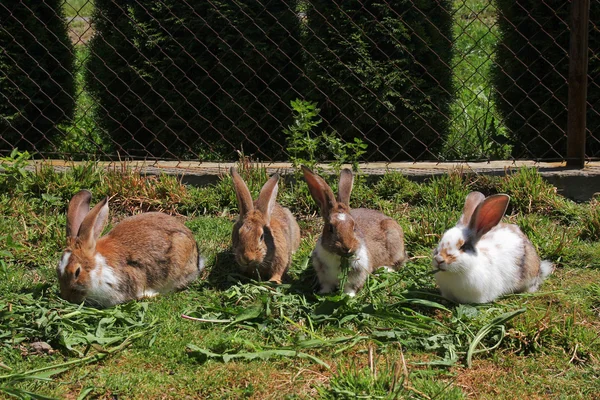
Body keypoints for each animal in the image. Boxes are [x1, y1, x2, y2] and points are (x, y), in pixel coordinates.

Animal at [302, 166, 406, 296]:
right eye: (330, 228)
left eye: (354, 226)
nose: (348, 247)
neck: (339, 257)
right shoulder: (324, 277)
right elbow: (327, 285)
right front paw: (323, 293)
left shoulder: (357, 276)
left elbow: (350, 288)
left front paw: (348, 296)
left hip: (394, 242)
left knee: (398, 263)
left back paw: (383, 269)